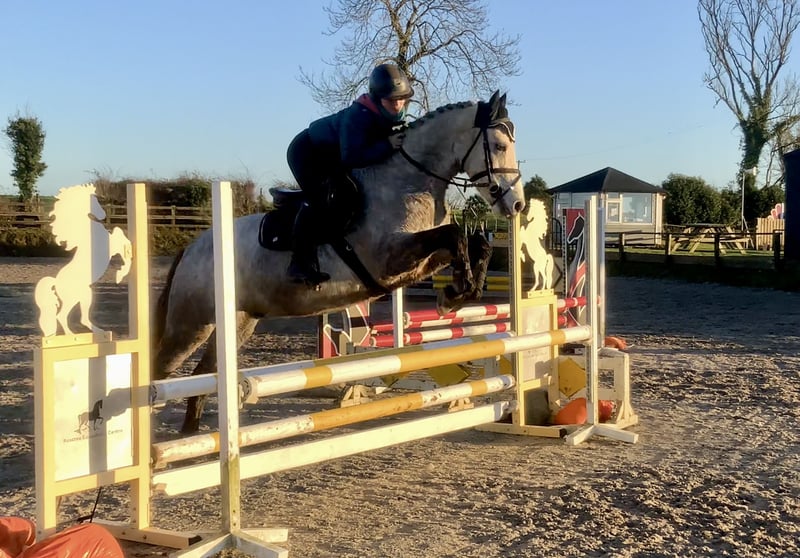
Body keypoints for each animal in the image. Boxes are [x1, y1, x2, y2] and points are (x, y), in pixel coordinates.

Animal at [34, 184, 132, 336]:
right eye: (94, 201)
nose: (103, 215)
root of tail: (56, 282)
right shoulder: (111, 245)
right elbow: (121, 236)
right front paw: (120, 274)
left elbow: (121, 236)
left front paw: (121, 273)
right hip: (74, 297)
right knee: (61, 316)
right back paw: (72, 336)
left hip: (85, 294)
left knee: (83, 319)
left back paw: (101, 332)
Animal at [153, 91, 526, 433]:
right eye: (498, 145)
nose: (517, 205)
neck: (408, 181)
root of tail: (192, 248)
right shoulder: (388, 259)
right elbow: (456, 235)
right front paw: (454, 294)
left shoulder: (422, 259)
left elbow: (473, 242)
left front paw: (458, 293)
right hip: (192, 324)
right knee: (162, 371)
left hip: (239, 323)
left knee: (203, 376)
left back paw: (192, 438)